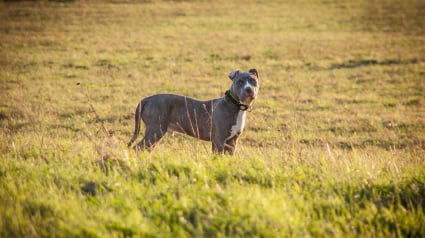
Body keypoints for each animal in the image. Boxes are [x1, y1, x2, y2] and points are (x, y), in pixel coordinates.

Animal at [126, 69, 258, 154]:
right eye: (240, 82)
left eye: (253, 81)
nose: (249, 89)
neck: (236, 106)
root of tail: (147, 99)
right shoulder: (218, 141)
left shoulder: (232, 142)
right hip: (155, 130)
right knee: (138, 148)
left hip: (154, 132)